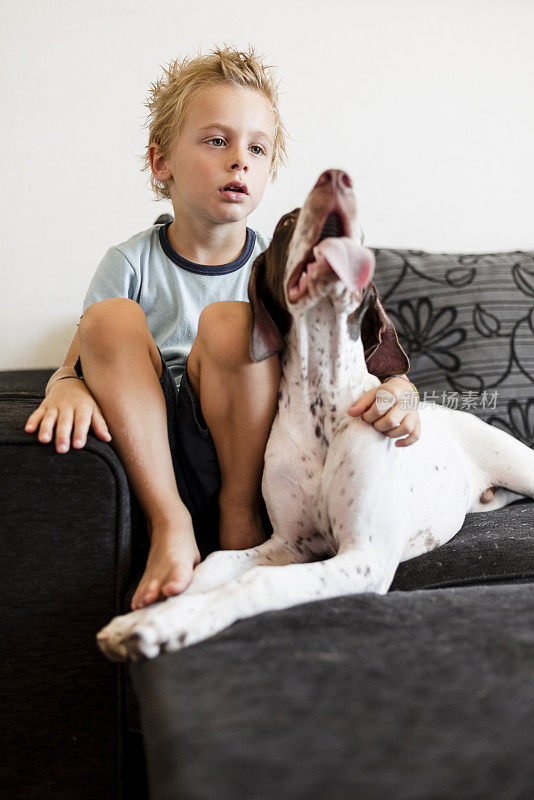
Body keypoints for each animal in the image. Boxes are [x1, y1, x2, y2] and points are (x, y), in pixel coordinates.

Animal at [96, 166, 534, 660]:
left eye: (362, 231)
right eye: (288, 222)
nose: (337, 176)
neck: (321, 397)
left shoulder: (362, 557)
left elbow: (257, 582)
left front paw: (166, 623)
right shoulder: (288, 543)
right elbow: (215, 565)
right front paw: (150, 612)